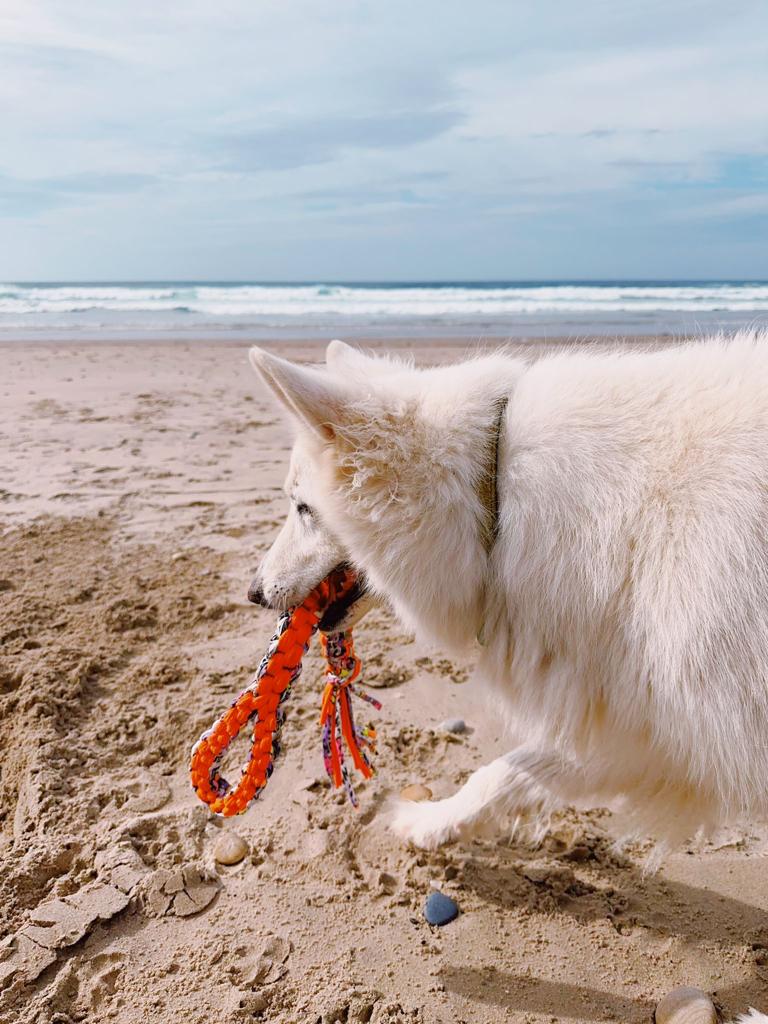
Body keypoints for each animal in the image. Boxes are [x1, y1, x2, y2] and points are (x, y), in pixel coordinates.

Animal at [249, 333, 768, 856]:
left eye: (303, 507)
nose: (253, 593)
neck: (497, 496)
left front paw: (426, 821)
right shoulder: (657, 729)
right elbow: (508, 771)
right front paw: (433, 823)